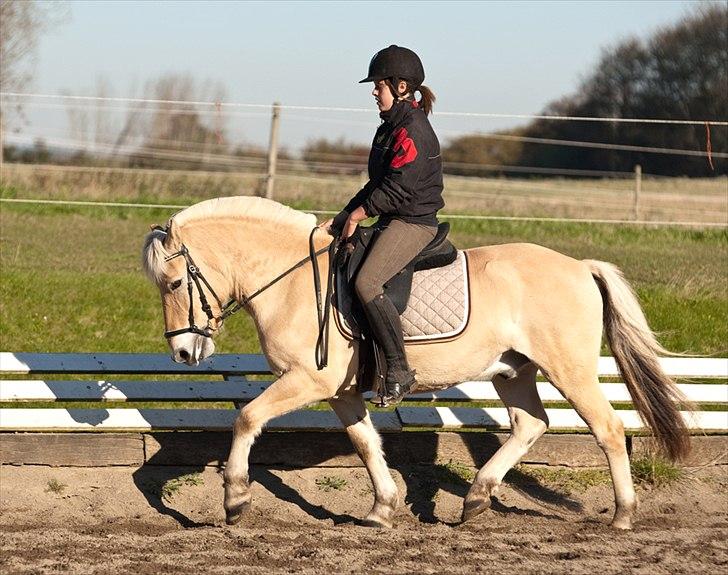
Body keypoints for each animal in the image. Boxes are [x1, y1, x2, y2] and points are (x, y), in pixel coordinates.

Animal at [142, 196, 689, 530]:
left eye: (175, 283)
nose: (184, 353)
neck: (291, 278)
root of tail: (579, 266)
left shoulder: (307, 380)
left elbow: (247, 418)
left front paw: (235, 500)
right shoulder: (340, 392)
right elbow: (366, 444)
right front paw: (382, 509)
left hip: (568, 370)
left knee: (609, 429)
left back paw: (623, 515)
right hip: (514, 371)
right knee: (531, 424)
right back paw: (475, 500)